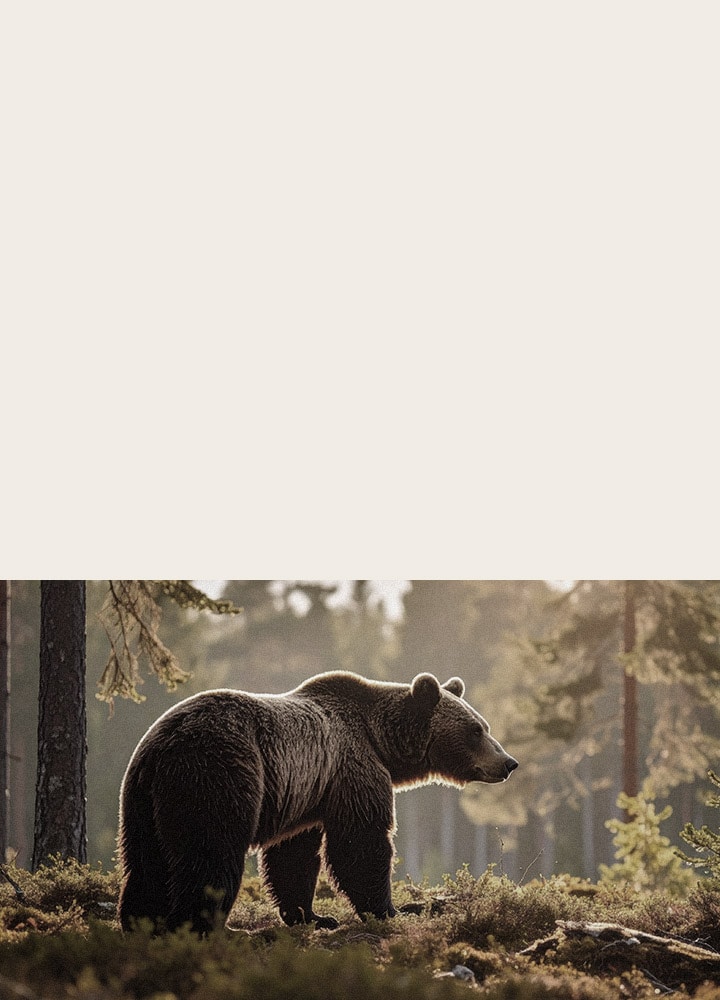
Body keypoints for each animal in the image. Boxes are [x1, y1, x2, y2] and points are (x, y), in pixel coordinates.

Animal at [117, 670, 518, 934]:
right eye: (476, 730)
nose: (509, 763)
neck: (381, 740)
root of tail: (162, 747)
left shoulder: (307, 793)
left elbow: (293, 857)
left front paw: (313, 916)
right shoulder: (352, 766)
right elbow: (361, 843)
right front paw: (394, 909)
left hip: (142, 802)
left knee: (146, 862)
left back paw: (141, 923)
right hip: (216, 775)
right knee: (210, 853)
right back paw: (213, 930)